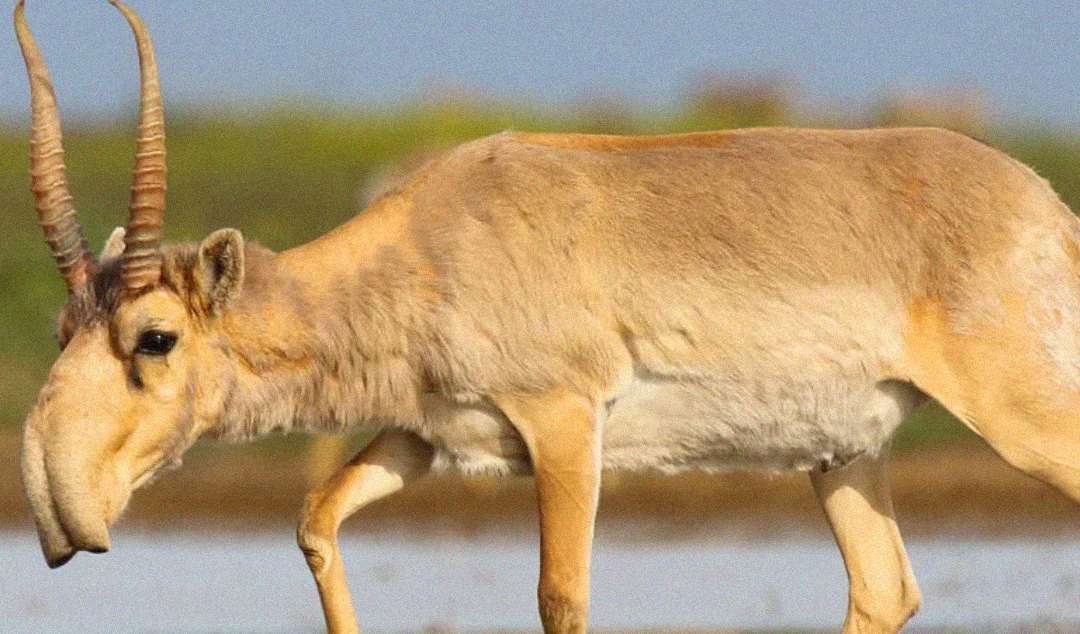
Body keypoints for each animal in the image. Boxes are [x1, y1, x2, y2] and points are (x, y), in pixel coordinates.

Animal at [16, 2, 1080, 633]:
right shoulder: (425, 434)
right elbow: (315, 520)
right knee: (884, 589)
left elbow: (561, 596)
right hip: (842, 455)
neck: (433, 240)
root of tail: (1047, 209)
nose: (59, 510)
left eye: (155, 337)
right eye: (65, 329)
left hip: (1024, 423)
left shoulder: (566, 423)